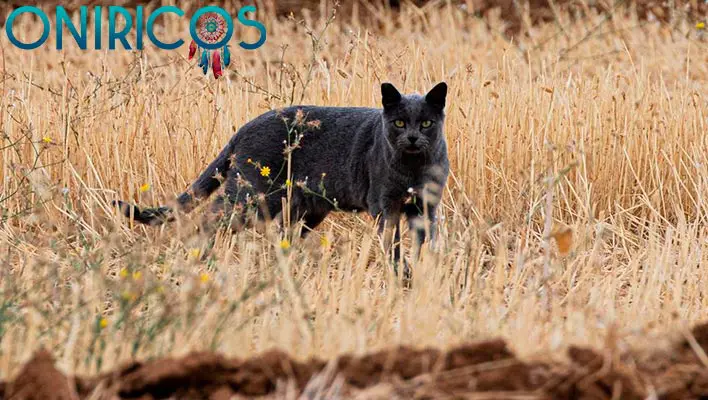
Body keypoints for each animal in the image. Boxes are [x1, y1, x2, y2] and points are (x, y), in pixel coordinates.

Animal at [115, 81, 448, 268]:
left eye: (427, 123)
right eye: (400, 123)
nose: (413, 138)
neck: (413, 168)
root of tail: (245, 127)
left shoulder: (425, 206)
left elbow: (425, 240)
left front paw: (425, 271)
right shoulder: (385, 205)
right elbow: (393, 244)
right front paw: (402, 275)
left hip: (303, 208)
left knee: (282, 235)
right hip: (251, 195)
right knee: (208, 218)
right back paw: (199, 257)